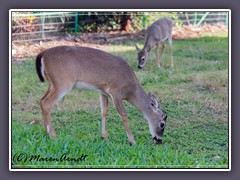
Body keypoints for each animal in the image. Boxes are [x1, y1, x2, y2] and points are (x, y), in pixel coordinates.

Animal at [35, 45, 168, 145]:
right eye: (162, 123)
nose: (159, 140)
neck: (130, 89)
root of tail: (43, 54)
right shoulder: (115, 91)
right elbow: (123, 115)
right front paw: (132, 141)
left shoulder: (102, 91)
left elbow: (104, 111)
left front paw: (104, 136)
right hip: (63, 83)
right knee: (46, 103)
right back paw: (52, 134)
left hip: (53, 83)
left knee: (41, 100)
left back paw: (46, 131)